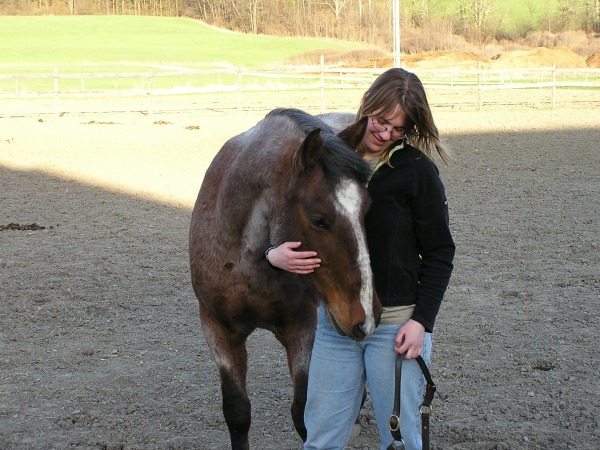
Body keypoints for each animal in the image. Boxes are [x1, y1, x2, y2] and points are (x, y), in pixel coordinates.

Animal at [190, 109, 382, 450]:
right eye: (319, 220)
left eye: (367, 209)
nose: (367, 316)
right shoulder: (217, 328)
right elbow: (237, 412)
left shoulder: (301, 328)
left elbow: (305, 415)